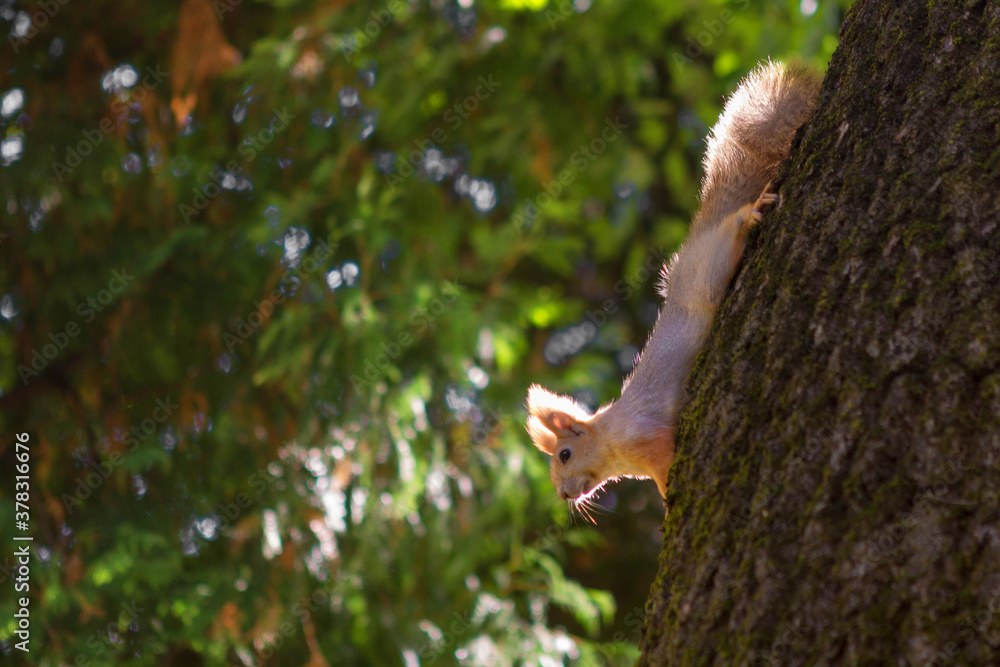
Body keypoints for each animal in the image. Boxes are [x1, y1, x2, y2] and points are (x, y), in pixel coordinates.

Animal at [526, 61, 821, 505]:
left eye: (564, 454)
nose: (562, 495)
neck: (611, 438)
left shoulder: (649, 437)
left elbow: (666, 459)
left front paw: (668, 504)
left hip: (709, 271)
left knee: (731, 230)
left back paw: (749, 213)